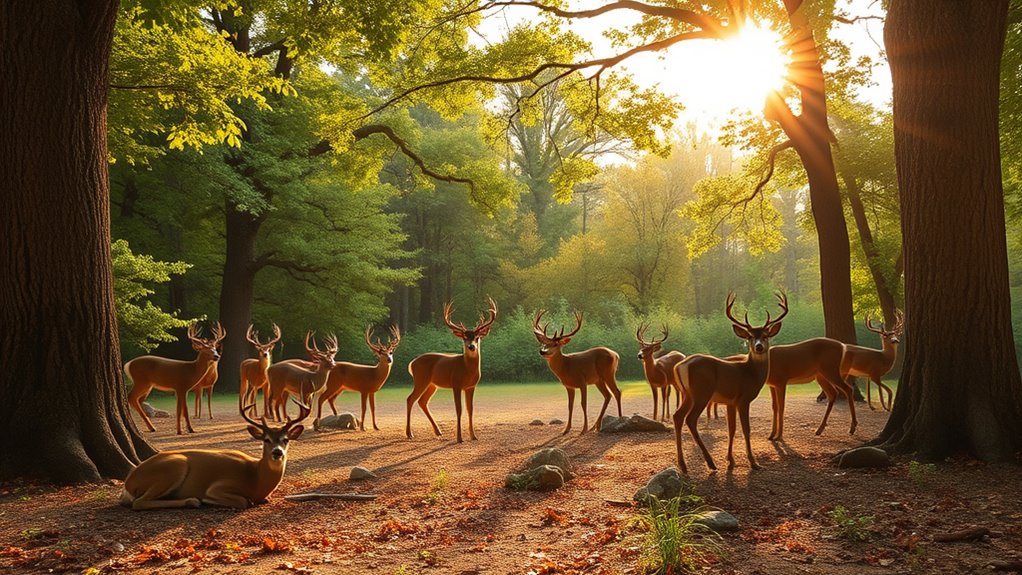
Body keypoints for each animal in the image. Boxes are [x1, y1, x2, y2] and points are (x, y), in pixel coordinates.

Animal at [120, 396, 310, 510]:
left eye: (286, 439)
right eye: (266, 439)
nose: (277, 452)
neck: (255, 478)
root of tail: (128, 481)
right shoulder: (220, 485)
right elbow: (243, 501)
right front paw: (207, 500)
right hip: (174, 466)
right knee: (138, 503)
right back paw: (193, 500)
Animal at [406, 298, 497, 443]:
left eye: (477, 337)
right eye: (464, 338)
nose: (471, 346)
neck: (467, 370)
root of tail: (411, 363)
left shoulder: (471, 386)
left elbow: (470, 409)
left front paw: (473, 436)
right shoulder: (456, 383)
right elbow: (458, 409)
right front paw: (459, 438)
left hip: (432, 384)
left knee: (422, 401)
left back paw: (438, 431)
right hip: (421, 379)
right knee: (410, 399)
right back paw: (409, 433)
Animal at [673, 292, 787, 473]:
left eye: (766, 336)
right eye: (750, 336)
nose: (759, 346)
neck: (750, 373)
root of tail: (680, 365)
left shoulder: (730, 402)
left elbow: (731, 429)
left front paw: (730, 460)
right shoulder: (743, 399)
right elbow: (746, 429)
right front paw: (754, 462)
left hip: (687, 394)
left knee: (677, 416)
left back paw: (683, 465)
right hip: (701, 392)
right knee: (690, 419)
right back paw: (710, 463)